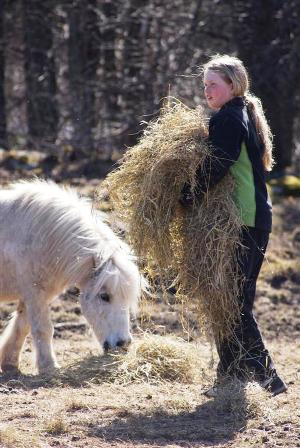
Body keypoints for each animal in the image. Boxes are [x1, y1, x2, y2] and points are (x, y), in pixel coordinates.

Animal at [0, 180, 141, 372]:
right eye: (104, 296)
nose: (123, 344)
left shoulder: (33, 295)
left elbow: (22, 325)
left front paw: (10, 364)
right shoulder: (34, 293)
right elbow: (43, 329)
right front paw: (49, 366)